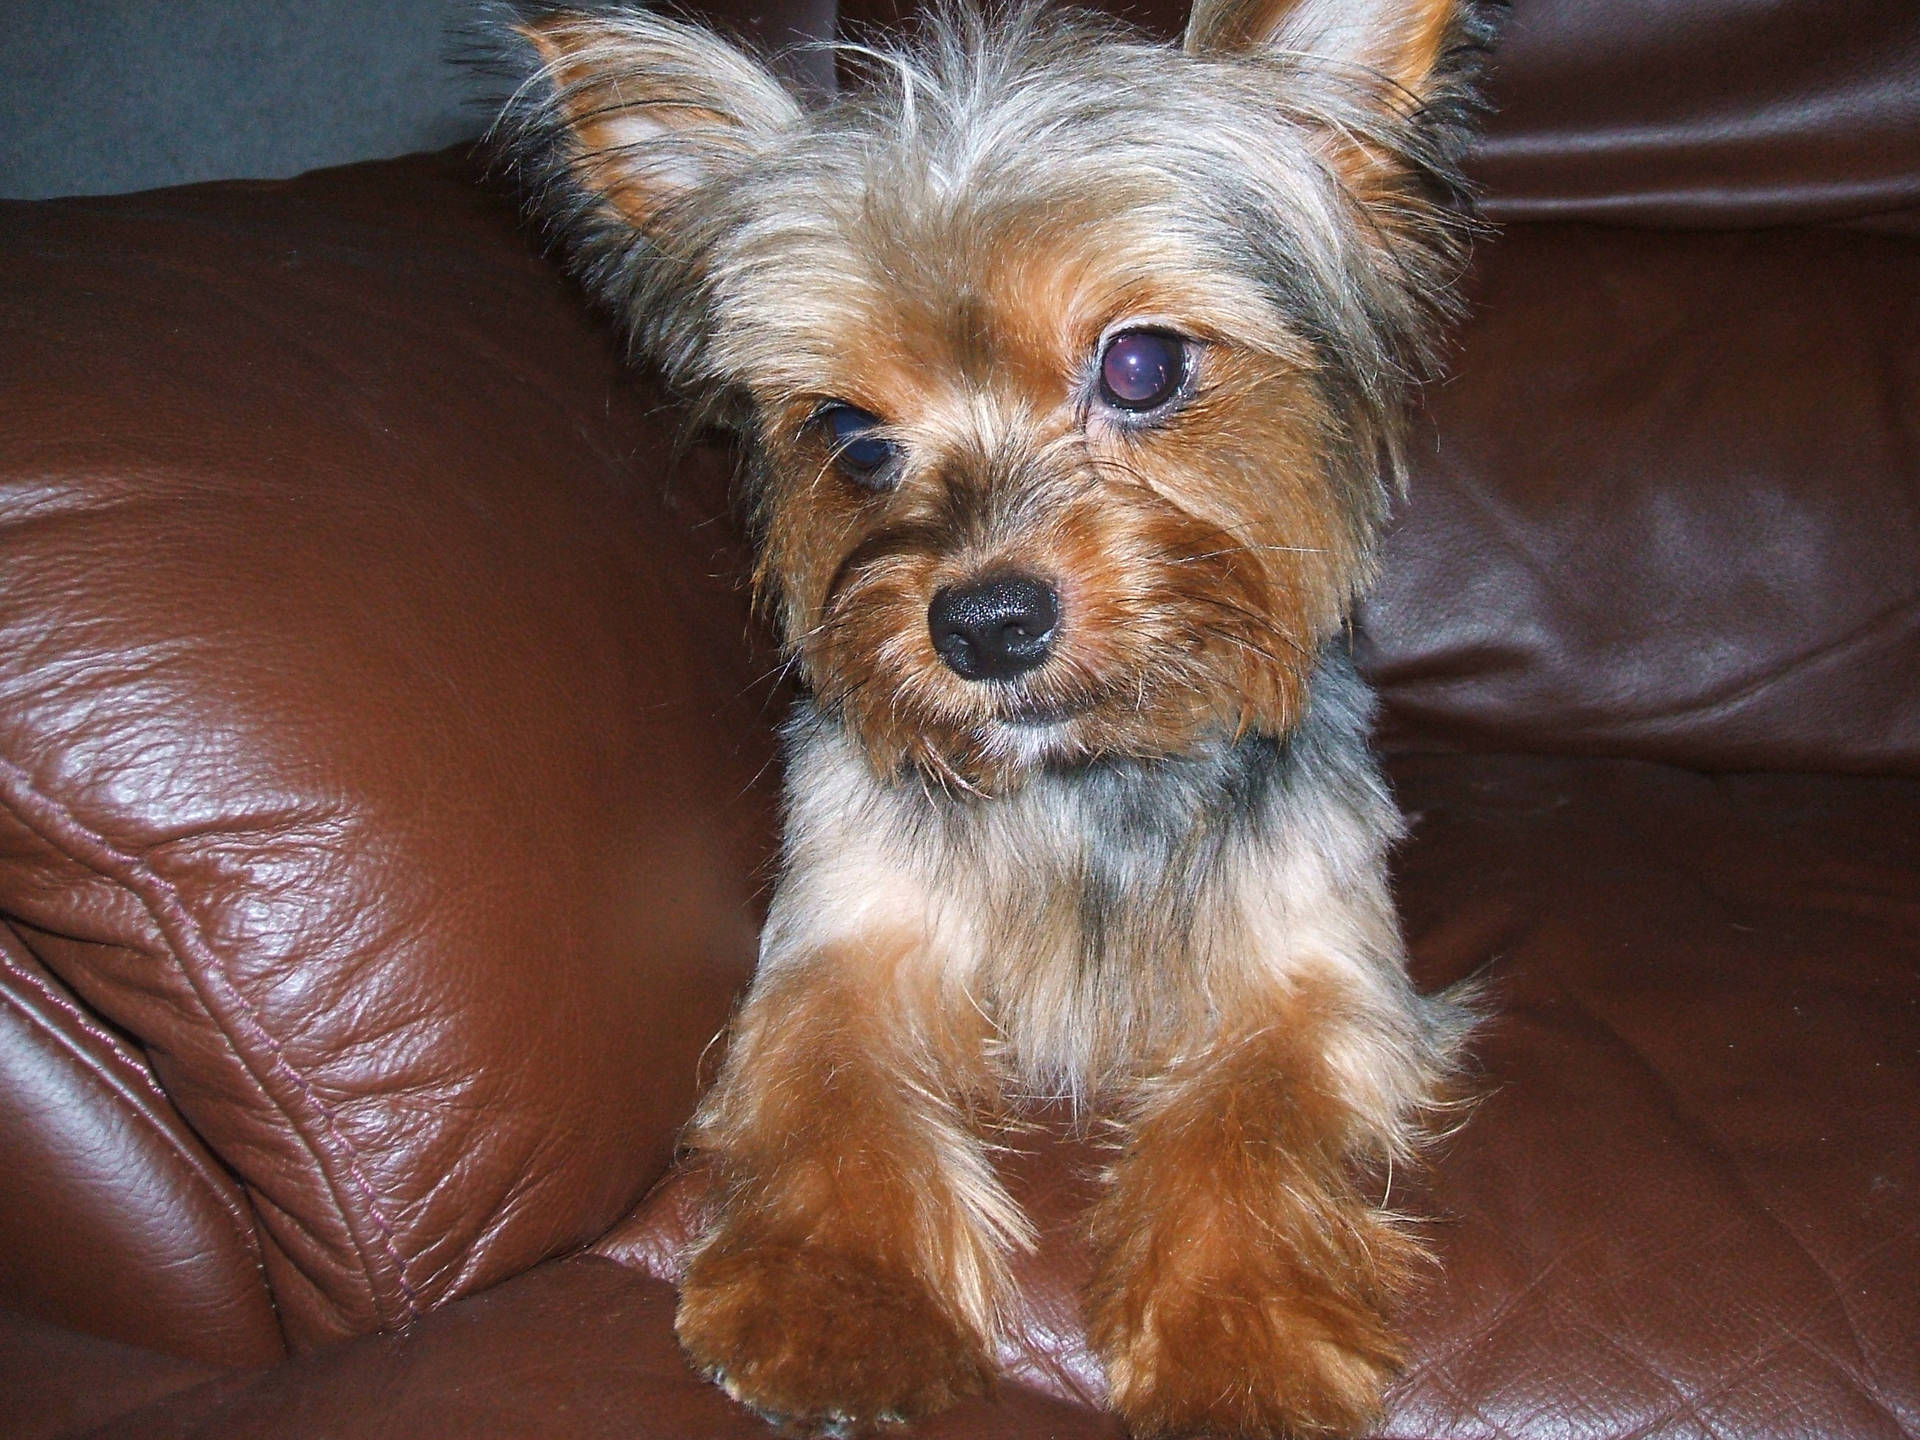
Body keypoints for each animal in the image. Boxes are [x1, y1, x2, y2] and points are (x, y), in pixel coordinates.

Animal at [487, 2, 1489, 1436]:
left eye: (1140, 364)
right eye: (848, 431)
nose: (985, 625)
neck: (1079, 775)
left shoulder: (1316, 976)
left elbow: (1248, 1115)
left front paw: (1233, 1339)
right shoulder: (844, 933)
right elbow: (835, 1084)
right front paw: (841, 1302)